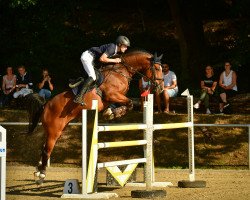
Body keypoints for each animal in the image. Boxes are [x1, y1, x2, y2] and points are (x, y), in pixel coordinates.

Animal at [27, 49, 164, 182]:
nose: (161, 88)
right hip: (54, 130)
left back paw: (38, 170)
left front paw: (111, 113)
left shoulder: (114, 98)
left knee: (44, 147)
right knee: (46, 150)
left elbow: (127, 104)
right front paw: (114, 113)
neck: (121, 72)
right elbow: (129, 103)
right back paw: (42, 174)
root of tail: (46, 104)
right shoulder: (112, 94)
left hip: (60, 129)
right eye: (157, 69)